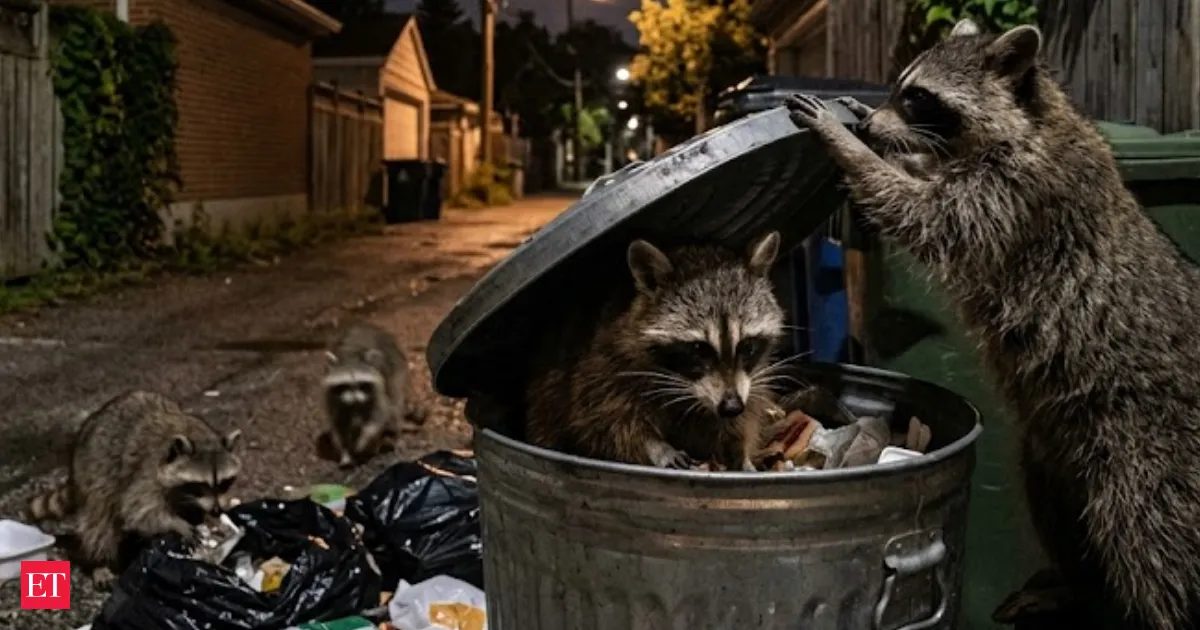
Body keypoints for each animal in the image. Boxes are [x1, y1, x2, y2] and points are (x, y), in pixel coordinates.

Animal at [26, 390, 241, 587]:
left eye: (224, 483)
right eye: (200, 485)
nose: (217, 511)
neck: (199, 435)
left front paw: (196, 518)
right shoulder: (146, 474)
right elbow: (139, 512)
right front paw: (177, 524)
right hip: (93, 475)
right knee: (100, 524)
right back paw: (99, 563)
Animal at [322, 323, 423, 467]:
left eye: (362, 384)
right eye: (344, 385)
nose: (355, 400)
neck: (350, 356)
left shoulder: (378, 388)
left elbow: (380, 414)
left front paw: (366, 437)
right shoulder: (331, 395)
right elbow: (337, 423)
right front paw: (345, 452)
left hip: (398, 370)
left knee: (395, 407)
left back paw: (395, 437)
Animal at [524, 231, 786, 470]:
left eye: (748, 346)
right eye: (699, 348)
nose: (731, 407)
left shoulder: (750, 382)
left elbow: (741, 419)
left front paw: (739, 453)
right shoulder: (604, 365)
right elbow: (606, 421)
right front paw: (655, 447)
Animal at [790, 20, 1200, 630]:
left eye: (919, 97)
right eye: (899, 87)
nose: (867, 125)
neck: (1034, 114)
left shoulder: (1014, 192)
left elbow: (921, 214)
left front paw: (848, 147)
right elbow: (920, 189)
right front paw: (878, 143)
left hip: (1150, 452)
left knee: (1150, 537)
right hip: (1059, 451)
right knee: (1057, 505)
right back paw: (1078, 587)